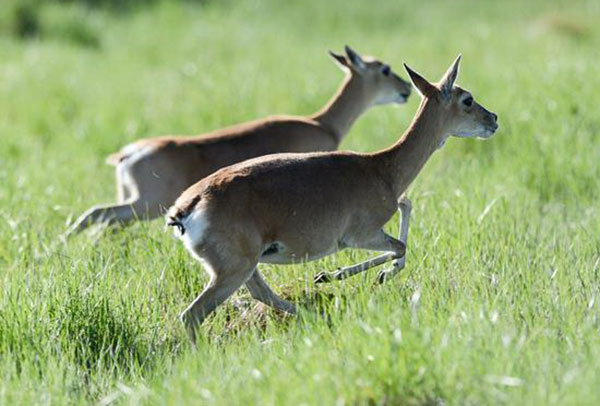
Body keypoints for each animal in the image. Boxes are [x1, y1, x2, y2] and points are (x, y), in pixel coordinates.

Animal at [67, 46, 412, 238]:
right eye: (384, 68)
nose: (407, 89)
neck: (322, 122)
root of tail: (126, 154)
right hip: (144, 205)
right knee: (96, 214)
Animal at [166, 54, 500, 340]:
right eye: (467, 99)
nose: (494, 118)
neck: (382, 169)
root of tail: (185, 209)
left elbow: (405, 223)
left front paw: (331, 276)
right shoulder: (360, 236)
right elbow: (400, 246)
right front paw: (345, 274)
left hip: (245, 267)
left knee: (261, 294)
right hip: (233, 270)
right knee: (192, 315)